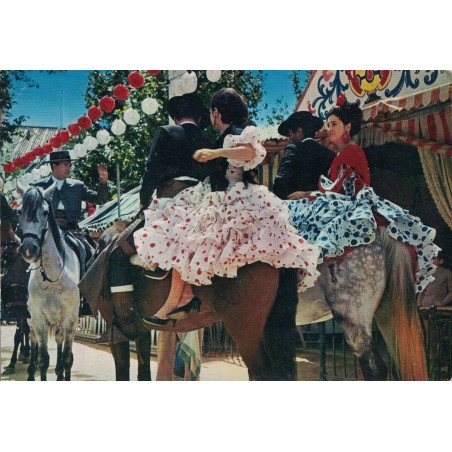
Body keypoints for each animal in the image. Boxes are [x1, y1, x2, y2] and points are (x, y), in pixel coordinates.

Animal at [17, 185, 81, 381]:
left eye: (45, 212)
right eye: (20, 211)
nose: (28, 249)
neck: (51, 276)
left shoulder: (70, 318)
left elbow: (67, 357)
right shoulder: (38, 318)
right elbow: (43, 359)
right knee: (33, 339)